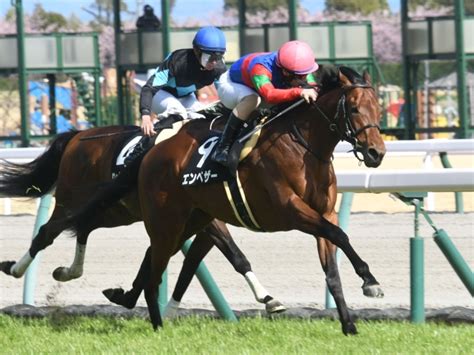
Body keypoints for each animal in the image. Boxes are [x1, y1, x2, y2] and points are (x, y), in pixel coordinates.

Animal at [0, 126, 286, 314]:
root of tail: (78, 136)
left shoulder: (205, 220)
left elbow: (198, 261)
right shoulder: (206, 218)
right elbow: (232, 255)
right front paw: (266, 297)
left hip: (114, 211)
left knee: (84, 227)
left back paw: (69, 271)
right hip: (72, 201)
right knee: (48, 231)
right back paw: (15, 268)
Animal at [61, 65, 386, 336]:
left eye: (378, 109)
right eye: (354, 108)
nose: (377, 153)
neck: (302, 147)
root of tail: (153, 152)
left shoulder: (323, 212)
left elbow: (332, 268)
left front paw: (349, 324)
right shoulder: (290, 210)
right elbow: (339, 234)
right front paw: (370, 281)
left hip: (191, 220)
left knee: (154, 259)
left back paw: (127, 298)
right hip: (165, 221)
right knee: (152, 271)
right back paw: (156, 325)